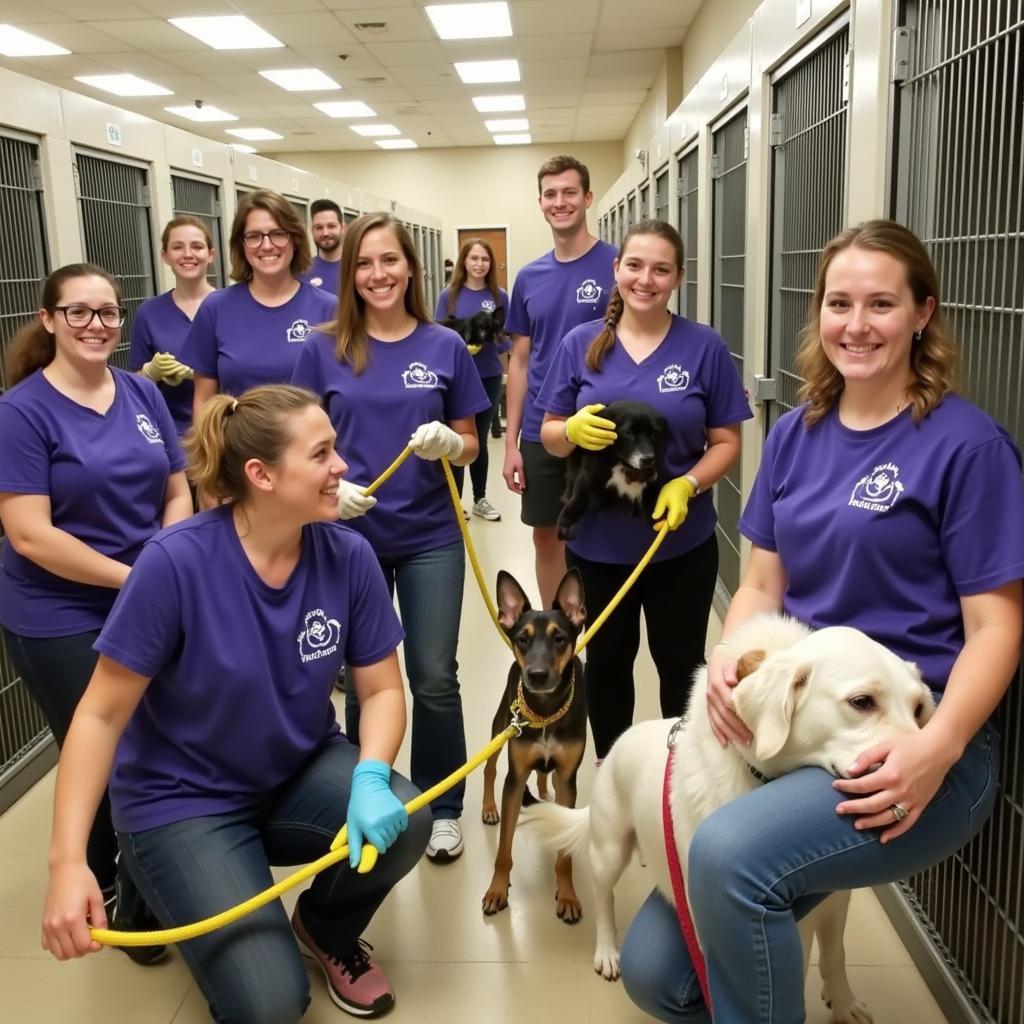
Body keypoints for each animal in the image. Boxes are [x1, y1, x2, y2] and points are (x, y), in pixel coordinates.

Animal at [483, 573, 589, 925]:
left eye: (559, 639)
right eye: (523, 639)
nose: (537, 675)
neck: (545, 712)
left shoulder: (569, 779)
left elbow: (564, 856)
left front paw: (567, 896)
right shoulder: (515, 780)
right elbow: (503, 850)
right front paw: (496, 891)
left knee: (546, 776)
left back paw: (544, 792)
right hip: (499, 727)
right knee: (488, 769)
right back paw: (488, 808)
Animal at [520, 614, 937, 1024]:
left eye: (919, 708)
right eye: (862, 702)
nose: (924, 775)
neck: (762, 783)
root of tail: (616, 747)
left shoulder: (836, 900)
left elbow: (835, 955)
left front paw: (844, 1003)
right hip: (609, 851)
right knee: (602, 898)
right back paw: (607, 950)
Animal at [557, 401, 667, 544]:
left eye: (654, 433)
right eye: (629, 432)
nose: (648, 460)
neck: (621, 460)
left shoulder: (652, 480)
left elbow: (653, 507)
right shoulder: (588, 473)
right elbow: (579, 497)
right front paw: (566, 520)